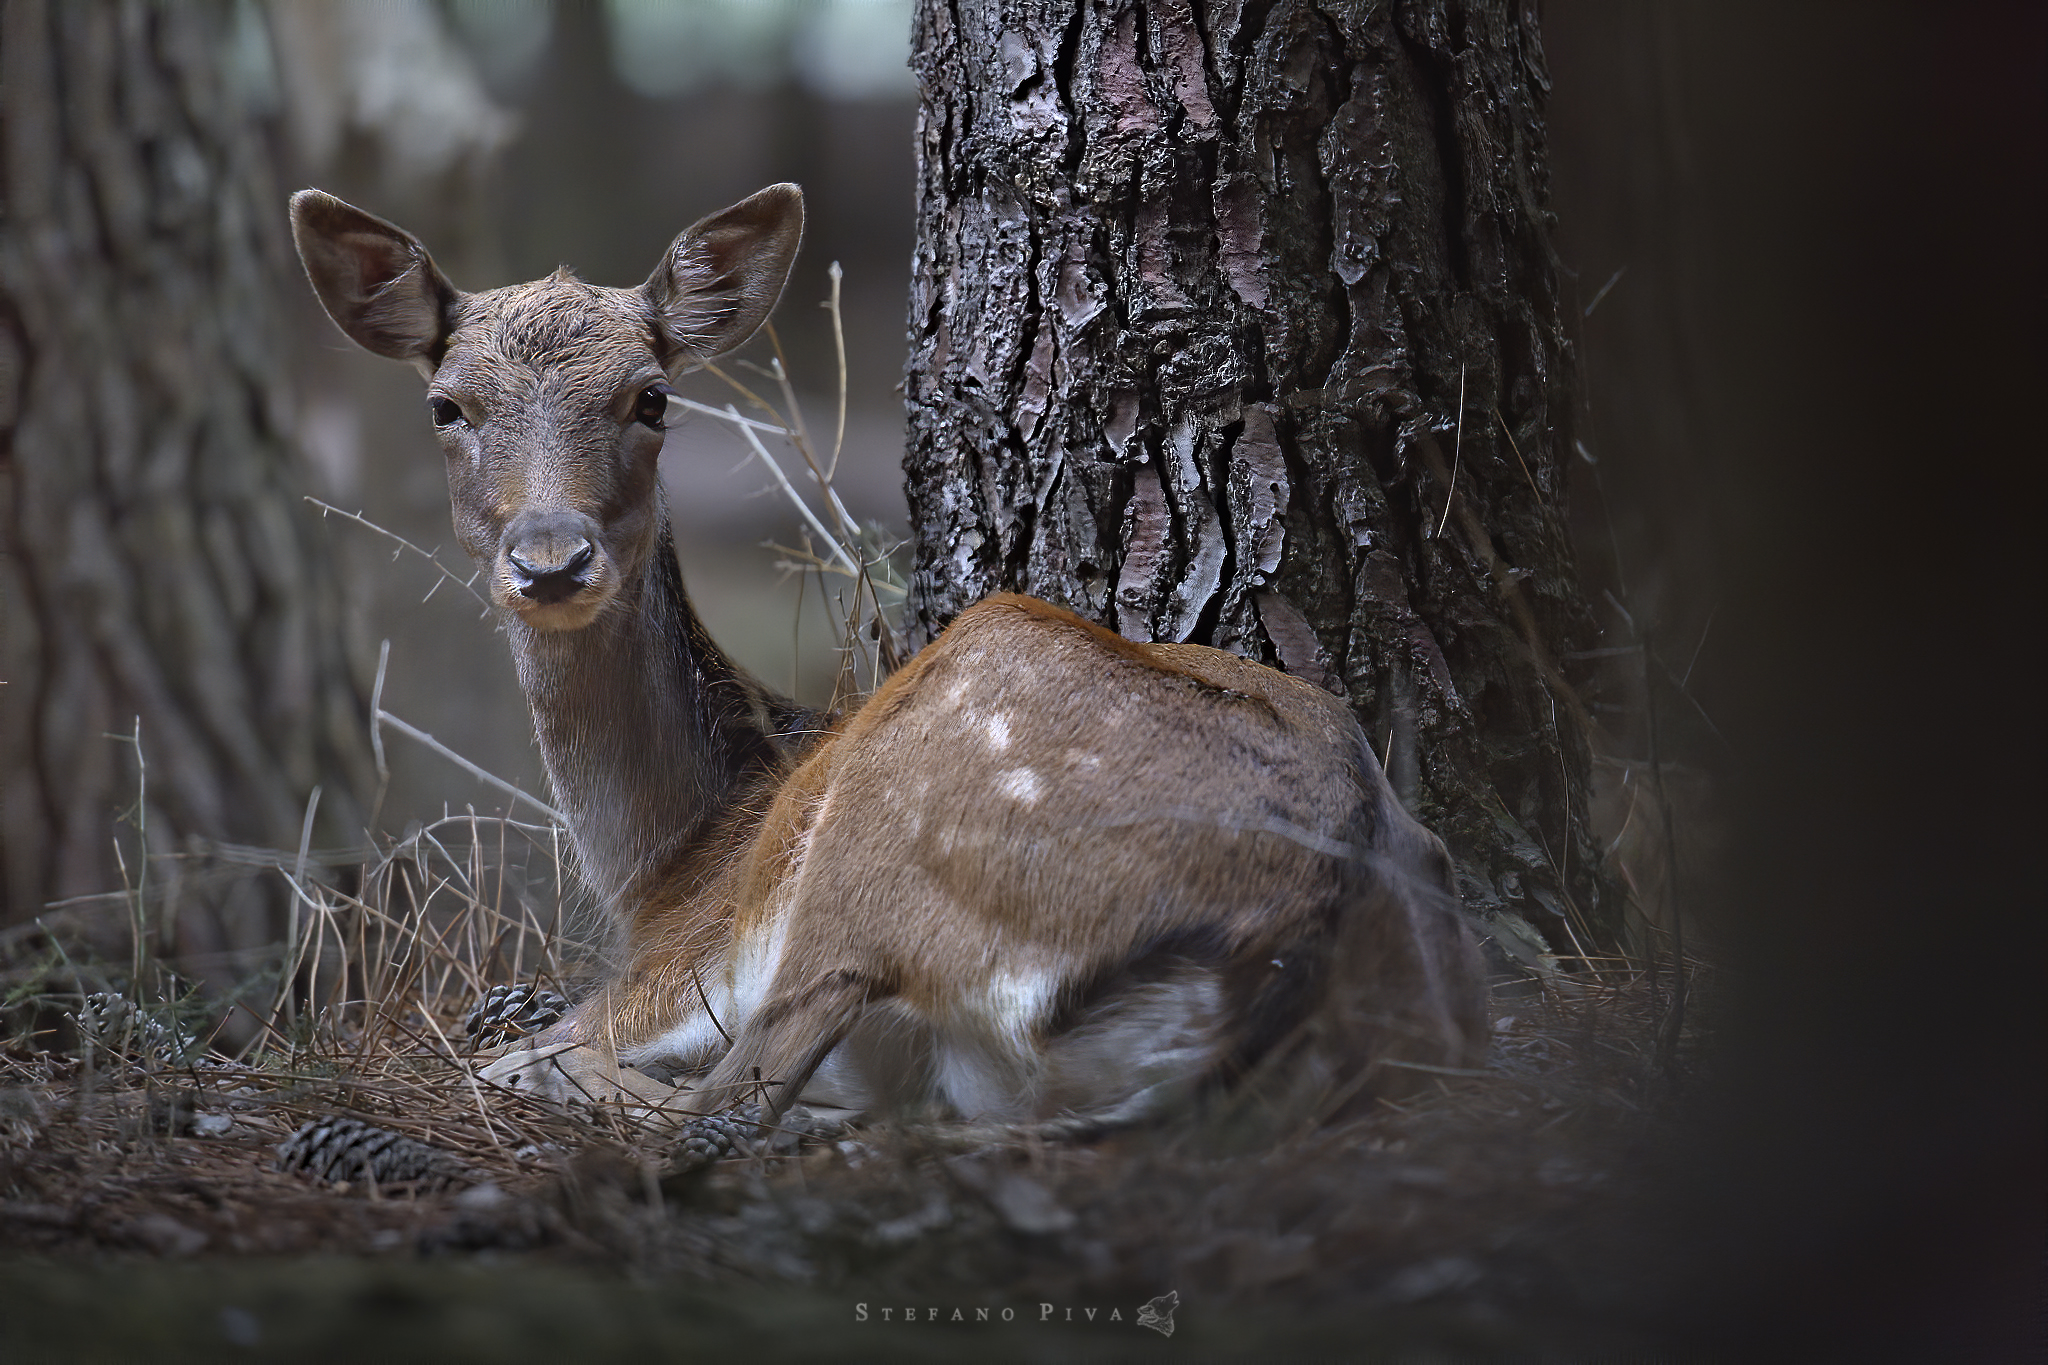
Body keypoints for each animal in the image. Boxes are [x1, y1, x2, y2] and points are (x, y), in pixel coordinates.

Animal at [290, 182, 1486, 1141]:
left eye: (652, 396)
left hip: (881, 841)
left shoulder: (678, 963)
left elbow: (560, 1045)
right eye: (446, 404)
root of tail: (1305, 920)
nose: (550, 559)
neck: (671, 857)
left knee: (727, 1091)